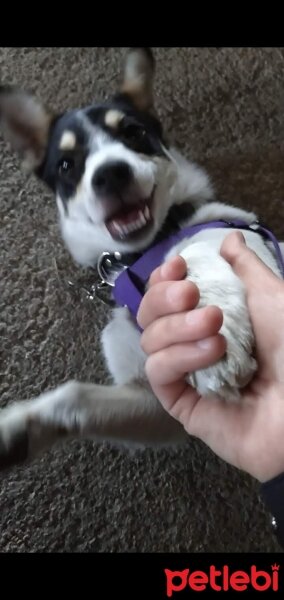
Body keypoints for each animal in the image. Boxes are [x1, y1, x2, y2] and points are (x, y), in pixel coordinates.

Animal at [0, 48, 282, 468]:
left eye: (133, 133)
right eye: (66, 164)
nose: (110, 174)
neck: (141, 254)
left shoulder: (237, 234)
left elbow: (198, 247)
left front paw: (206, 334)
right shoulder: (159, 401)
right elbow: (75, 397)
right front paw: (16, 430)